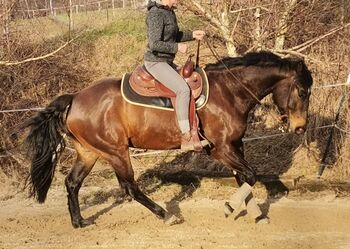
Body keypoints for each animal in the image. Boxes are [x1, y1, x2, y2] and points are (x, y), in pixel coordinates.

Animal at [23, 51, 314, 229]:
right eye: (302, 91)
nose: (301, 127)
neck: (229, 92)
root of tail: (74, 98)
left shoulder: (235, 146)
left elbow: (245, 179)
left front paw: (256, 216)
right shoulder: (221, 149)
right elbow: (251, 176)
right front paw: (231, 207)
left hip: (89, 152)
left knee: (72, 183)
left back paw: (79, 222)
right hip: (116, 152)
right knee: (129, 187)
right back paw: (166, 216)